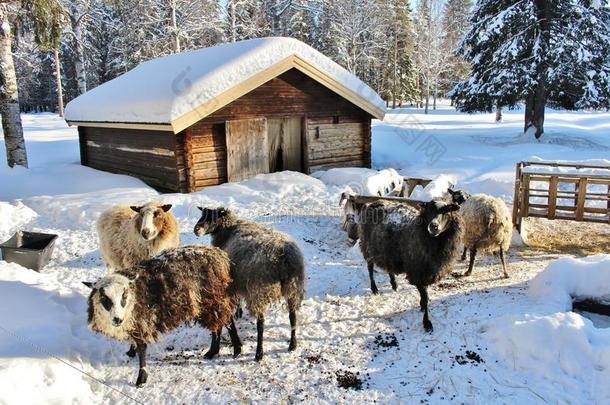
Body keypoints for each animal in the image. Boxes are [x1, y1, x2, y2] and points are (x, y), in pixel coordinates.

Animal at [83, 243, 240, 386]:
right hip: (211, 303)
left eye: (124, 295)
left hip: (214, 300)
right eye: (104, 298)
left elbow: (142, 349)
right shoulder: (135, 324)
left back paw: (235, 349)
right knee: (219, 324)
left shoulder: (142, 322)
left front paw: (141, 379)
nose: (117, 320)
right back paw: (214, 351)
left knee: (226, 321)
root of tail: (219, 255)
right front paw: (130, 352)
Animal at [194, 207, 304, 362]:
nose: (196, 229)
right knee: (292, 316)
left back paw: (259, 353)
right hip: (293, 287)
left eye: (213, 217)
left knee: (261, 324)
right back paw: (292, 345)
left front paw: (238, 312)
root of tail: (282, 256)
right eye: (203, 215)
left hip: (259, 290)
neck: (229, 229)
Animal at [356, 199, 460, 332]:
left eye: (447, 211)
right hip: (368, 247)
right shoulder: (417, 272)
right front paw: (427, 323)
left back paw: (394, 284)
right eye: (429, 210)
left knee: (389, 268)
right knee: (370, 268)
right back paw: (374, 289)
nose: (433, 226)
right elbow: (425, 298)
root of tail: (373, 202)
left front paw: (422, 307)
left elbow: (424, 296)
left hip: (388, 251)